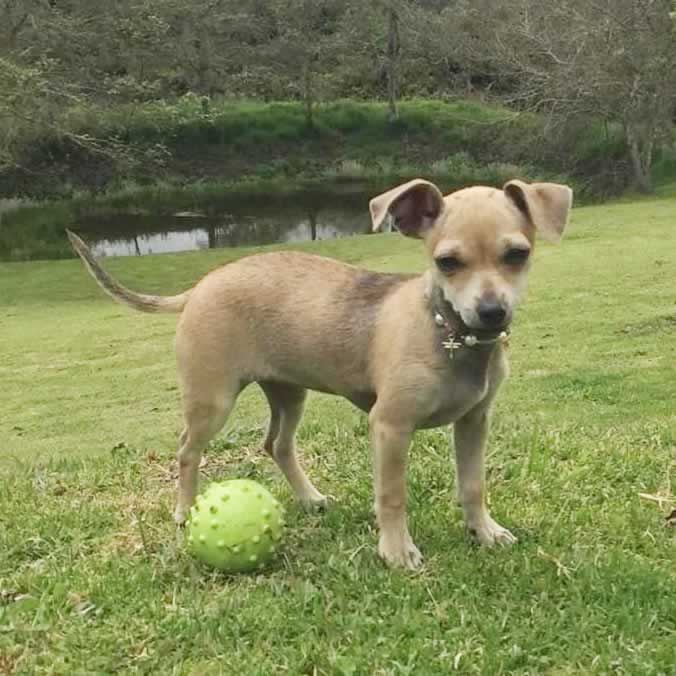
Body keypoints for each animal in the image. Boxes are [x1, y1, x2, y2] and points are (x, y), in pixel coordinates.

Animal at [67, 180, 572, 572]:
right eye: (447, 262)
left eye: (517, 254)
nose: (491, 312)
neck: (449, 337)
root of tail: (199, 286)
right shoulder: (390, 427)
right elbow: (392, 494)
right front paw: (396, 551)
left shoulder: (473, 422)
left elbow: (472, 484)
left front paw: (483, 531)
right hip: (212, 400)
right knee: (188, 451)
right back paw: (184, 509)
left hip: (288, 393)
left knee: (277, 444)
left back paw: (309, 498)